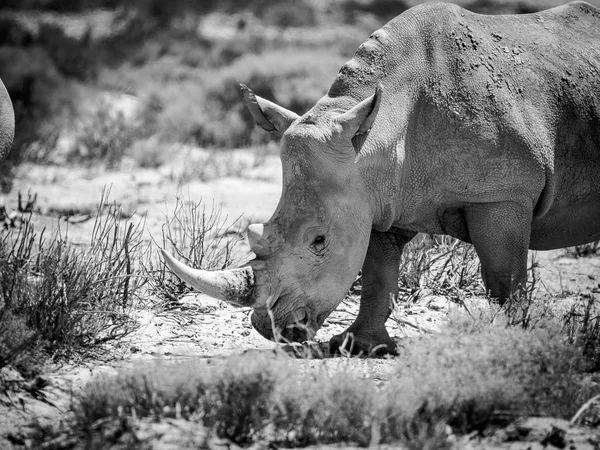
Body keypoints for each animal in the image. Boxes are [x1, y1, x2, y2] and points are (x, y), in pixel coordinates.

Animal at [161, 0, 600, 356]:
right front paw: (357, 346)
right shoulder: (377, 199)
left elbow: (504, 280)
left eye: (319, 242)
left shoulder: (502, 195)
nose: (272, 330)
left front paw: (510, 341)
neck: (380, 131)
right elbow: (376, 278)